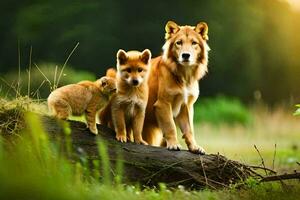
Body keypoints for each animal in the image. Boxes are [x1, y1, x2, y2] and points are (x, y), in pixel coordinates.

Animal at [142, 20, 209, 154]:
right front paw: (173, 145)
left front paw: (195, 147)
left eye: (194, 43)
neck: (185, 75)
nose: (185, 55)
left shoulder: (186, 105)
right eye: (179, 43)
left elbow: (189, 129)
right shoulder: (163, 104)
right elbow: (170, 126)